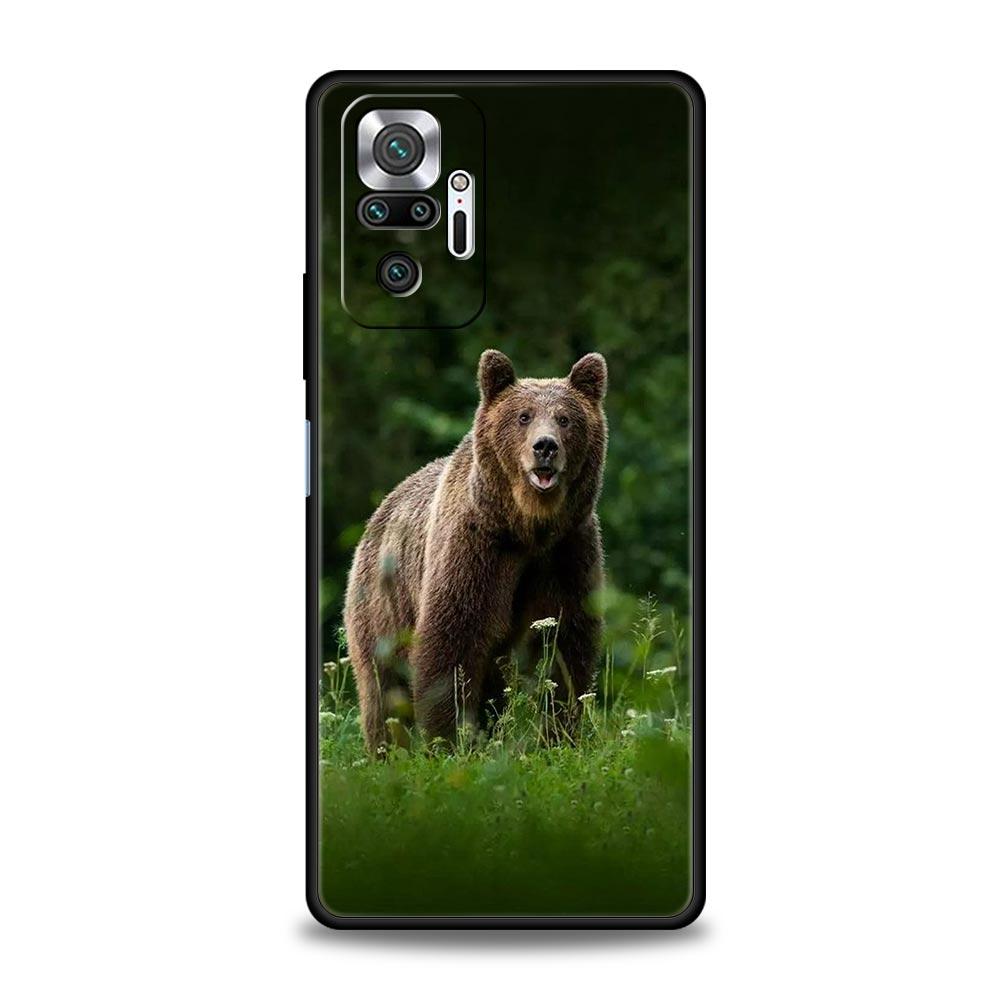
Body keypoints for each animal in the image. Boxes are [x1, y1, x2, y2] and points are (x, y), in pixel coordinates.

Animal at [344, 349, 608, 751]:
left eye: (565, 418)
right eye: (523, 416)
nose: (545, 447)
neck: (527, 527)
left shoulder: (567, 551)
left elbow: (565, 645)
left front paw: (558, 735)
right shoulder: (476, 548)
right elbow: (453, 641)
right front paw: (450, 740)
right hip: (382, 602)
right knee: (383, 689)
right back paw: (387, 750)